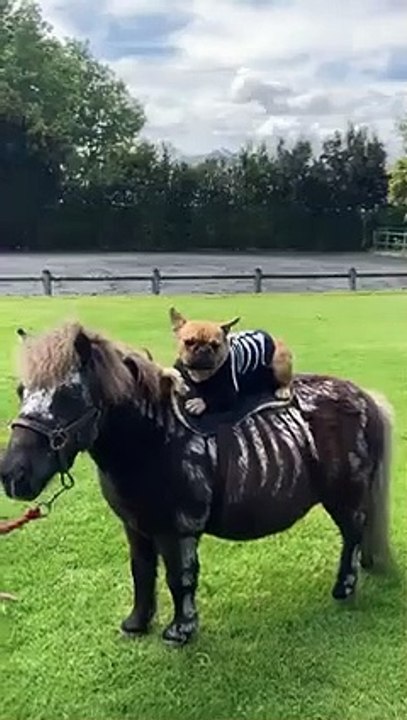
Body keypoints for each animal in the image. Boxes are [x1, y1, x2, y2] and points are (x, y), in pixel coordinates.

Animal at [0, 321, 393, 646]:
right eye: (21, 391)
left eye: (68, 397)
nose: (13, 475)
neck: (155, 439)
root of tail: (363, 395)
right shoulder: (135, 526)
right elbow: (142, 572)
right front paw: (136, 624)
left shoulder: (178, 530)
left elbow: (180, 578)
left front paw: (180, 631)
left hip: (344, 496)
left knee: (352, 534)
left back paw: (344, 588)